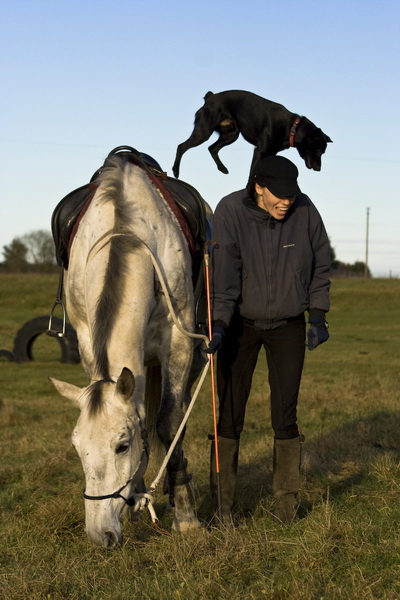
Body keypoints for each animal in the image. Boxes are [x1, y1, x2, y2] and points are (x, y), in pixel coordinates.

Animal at [50, 156, 205, 548]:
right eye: (77, 447)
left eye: (122, 445)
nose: (99, 534)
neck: (126, 232)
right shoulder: (88, 340)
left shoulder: (178, 344)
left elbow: (169, 423)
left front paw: (186, 516)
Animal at [173, 89, 332, 178]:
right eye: (319, 150)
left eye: (323, 152)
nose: (319, 169)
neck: (291, 127)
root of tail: (210, 98)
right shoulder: (260, 151)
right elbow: (252, 174)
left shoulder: (270, 153)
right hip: (203, 132)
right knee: (181, 146)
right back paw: (175, 171)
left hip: (232, 134)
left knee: (212, 148)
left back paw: (222, 168)